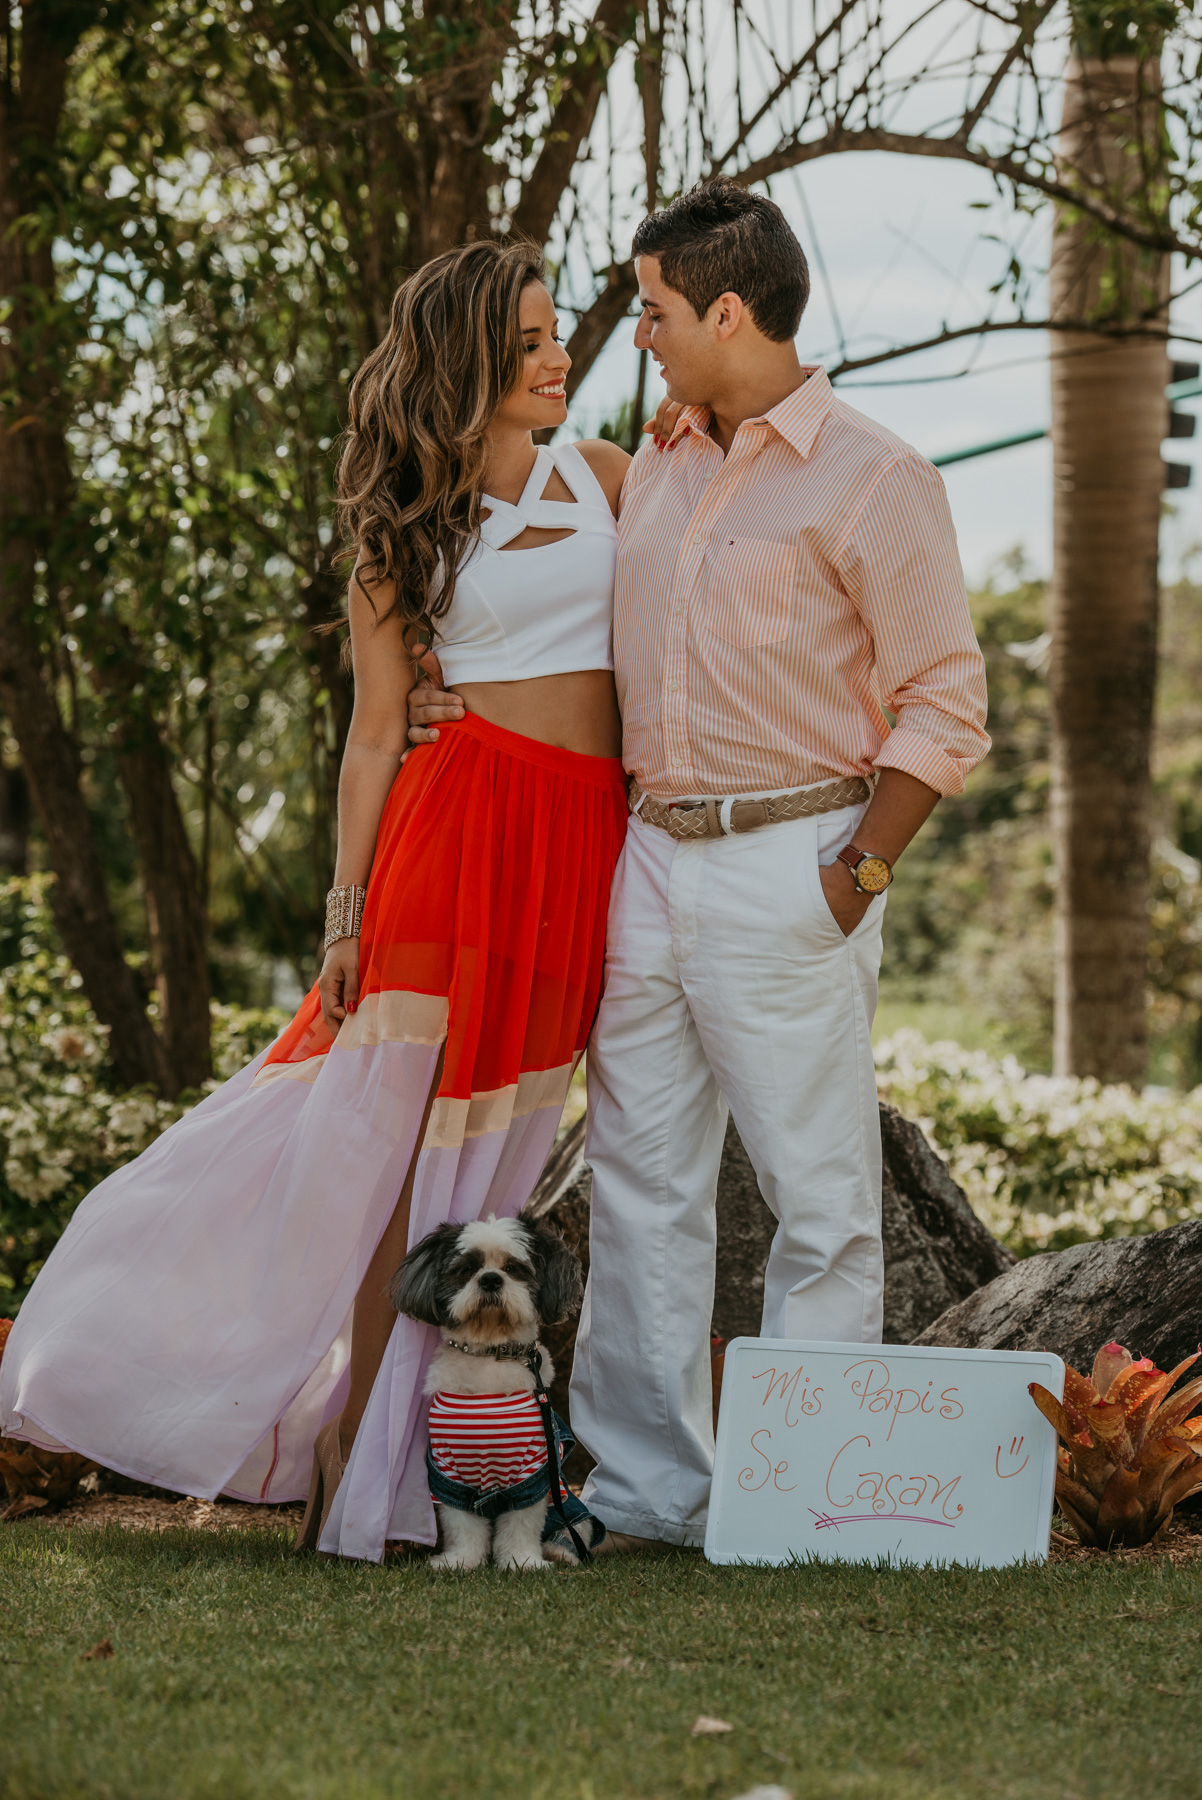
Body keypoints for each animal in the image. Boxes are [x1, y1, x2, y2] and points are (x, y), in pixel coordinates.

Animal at [390, 1209, 604, 1576]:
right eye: (467, 1269)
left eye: (514, 1268)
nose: (490, 1279)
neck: (490, 1353)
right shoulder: (448, 1470)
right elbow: (461, 1521)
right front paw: (460, 1560)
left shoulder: (535, 1470)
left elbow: (522, 1521)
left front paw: (522, 1561)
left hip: (571, 1507)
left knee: (573, 1529)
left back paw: (560, 1553)